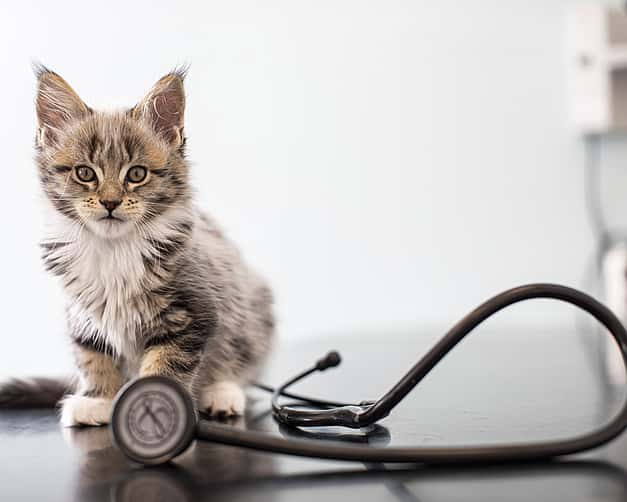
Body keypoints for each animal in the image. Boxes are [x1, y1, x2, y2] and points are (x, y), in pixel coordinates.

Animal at [0, 65, 274, 428]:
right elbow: (93, 358)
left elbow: (165, 366)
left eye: (137, 174)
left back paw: (222, 393)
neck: (113, 249)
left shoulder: (190, 314)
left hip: (250, 308)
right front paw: (99, 399)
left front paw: (155, 407)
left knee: (239, 361)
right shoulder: (85, 318)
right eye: (85, 173)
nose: (110, 202)